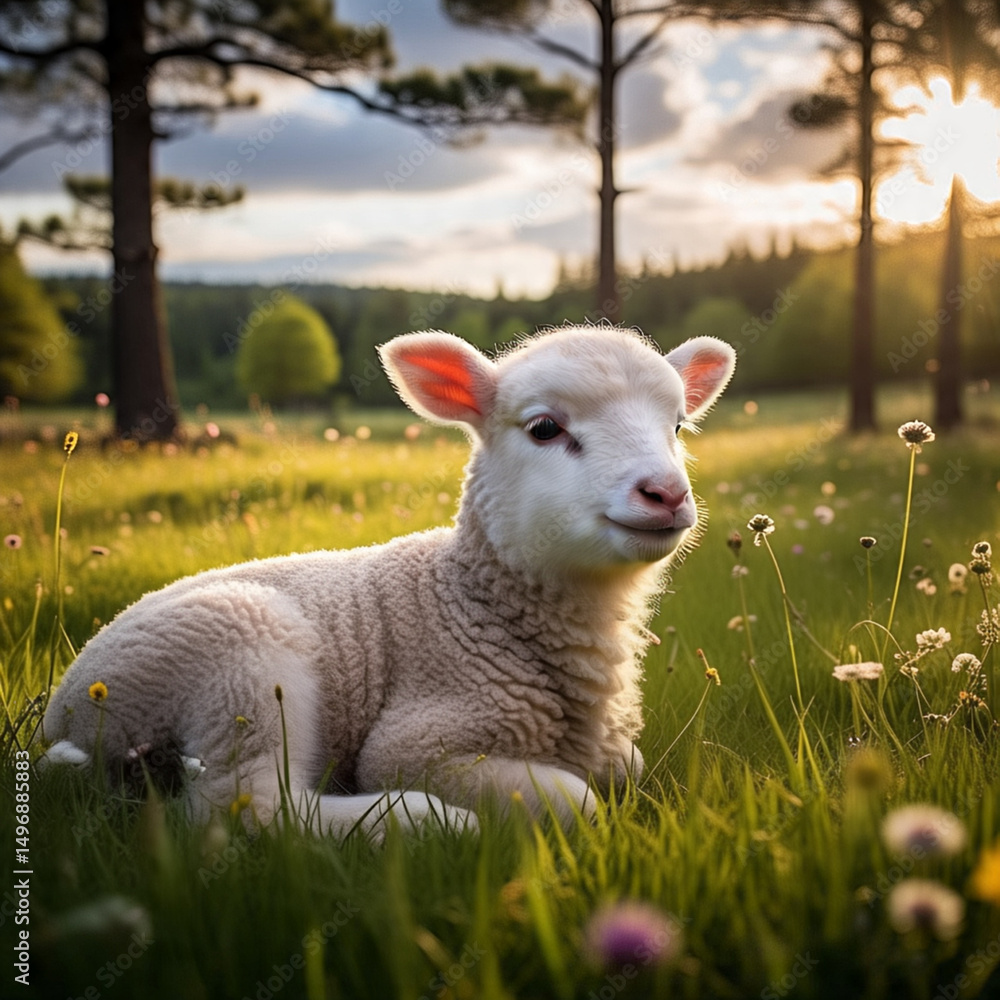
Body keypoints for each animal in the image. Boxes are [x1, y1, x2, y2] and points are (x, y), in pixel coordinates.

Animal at [43, 325, 735, 837]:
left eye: (678, 427)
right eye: (545, 427)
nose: (665, 493)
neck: (471, 599)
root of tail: (64, 718)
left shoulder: (611, 746)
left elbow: (631, 768)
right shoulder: (418, 742)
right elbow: (580, 802)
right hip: (236, 660)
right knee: (248, 809)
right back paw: (426, 822)